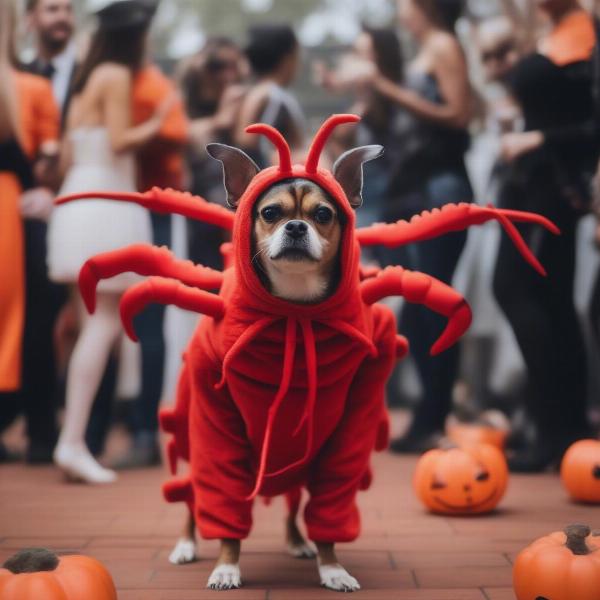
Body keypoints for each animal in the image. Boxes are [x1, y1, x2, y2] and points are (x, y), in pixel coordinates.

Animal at [166, 139, 382, 592]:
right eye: (269, 213)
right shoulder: (217, 434)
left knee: (292, 501)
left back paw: (298, 542)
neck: (294, 310)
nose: (296, 227)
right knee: (192, 498)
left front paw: (332, 567)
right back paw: (186, 545)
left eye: (323, 214)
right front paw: (226, 567)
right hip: (194, 442)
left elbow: (328, 513)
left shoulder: (342, 442)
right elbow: (223, 512)